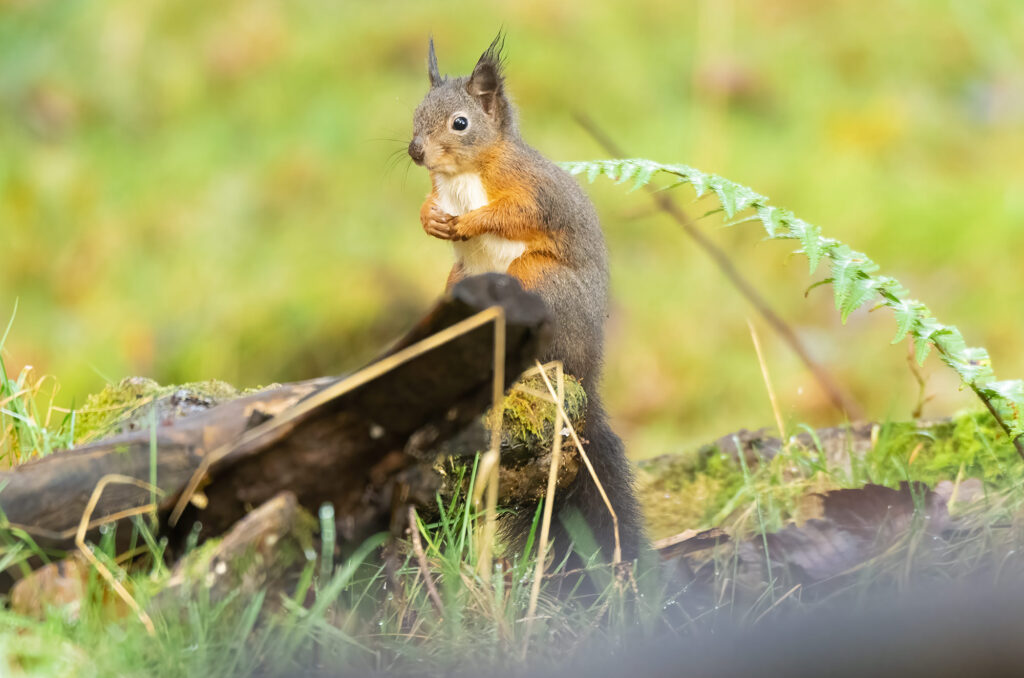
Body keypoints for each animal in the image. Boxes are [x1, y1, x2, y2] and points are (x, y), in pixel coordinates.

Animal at [409, 33, 643, 561]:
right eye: (416, 112)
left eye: (460, 123)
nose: (415, 151)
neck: (463, 174)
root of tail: (587, 371)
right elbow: (429, 209)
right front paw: (432, 218)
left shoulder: (533, 193)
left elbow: (513, 214)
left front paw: (472, 221)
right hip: (459, 285)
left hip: (535, 280)